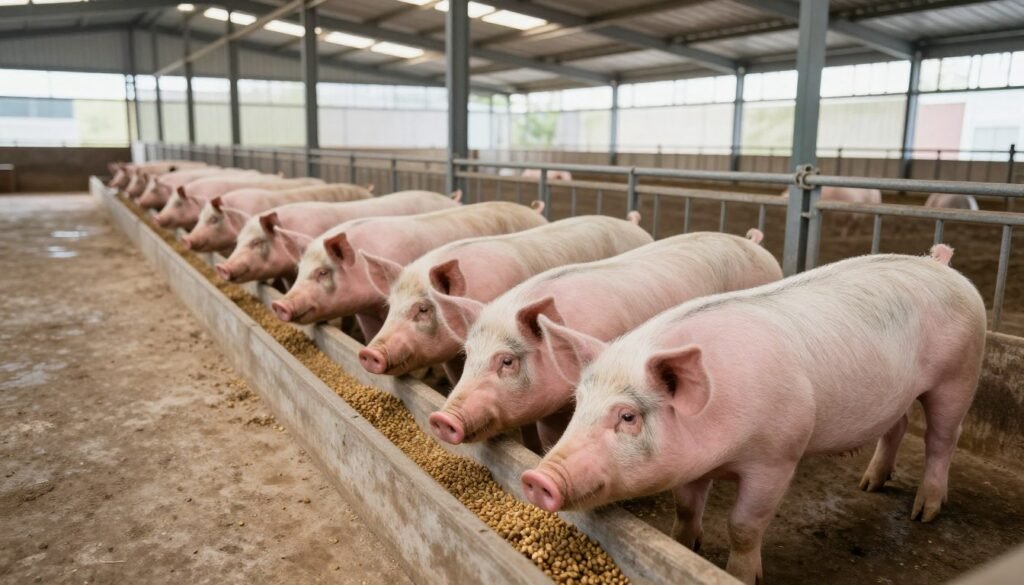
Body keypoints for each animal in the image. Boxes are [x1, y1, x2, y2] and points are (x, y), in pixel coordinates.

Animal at [520, 246, 985, 584]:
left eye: (628, 416)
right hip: (900, 395)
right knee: (899, 426)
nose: (537, 478)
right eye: (579, 403)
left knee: (942, 439)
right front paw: (684, 545)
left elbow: (744, 526)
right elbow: (685, 509)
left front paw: (741, 576)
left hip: (959, 375)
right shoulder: (692, 465)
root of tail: (941, 265)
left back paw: (924, 513)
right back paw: (869, 485)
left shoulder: (778, 455)